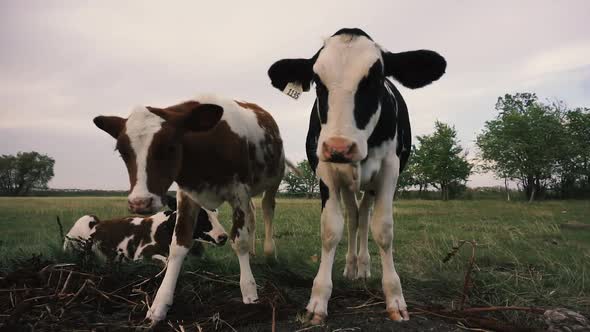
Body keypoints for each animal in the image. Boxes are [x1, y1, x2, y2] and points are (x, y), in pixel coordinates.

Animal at [93, 94, 286, 322]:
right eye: (122, 151)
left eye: (169, 147)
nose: (140, 202)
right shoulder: (187, 195)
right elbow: (178, 245)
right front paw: (160, 304)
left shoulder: (239, 191)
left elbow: (239, 241)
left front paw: (249, 291)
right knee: (253, 214)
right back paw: (255, 252)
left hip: (274, 179)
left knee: (267, 208)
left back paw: (269, 252)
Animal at [270, 28, 448, 324]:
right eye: (317, 83)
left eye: (376, 79)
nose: (339, 147)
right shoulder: (325, 170)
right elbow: (331, 229)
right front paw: (318, 299)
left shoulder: (389, 169)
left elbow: (383, 230)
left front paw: (394, 297)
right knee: (354, 217)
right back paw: (352, 266)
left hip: (371, 184)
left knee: (364, 217)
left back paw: (363, 266)